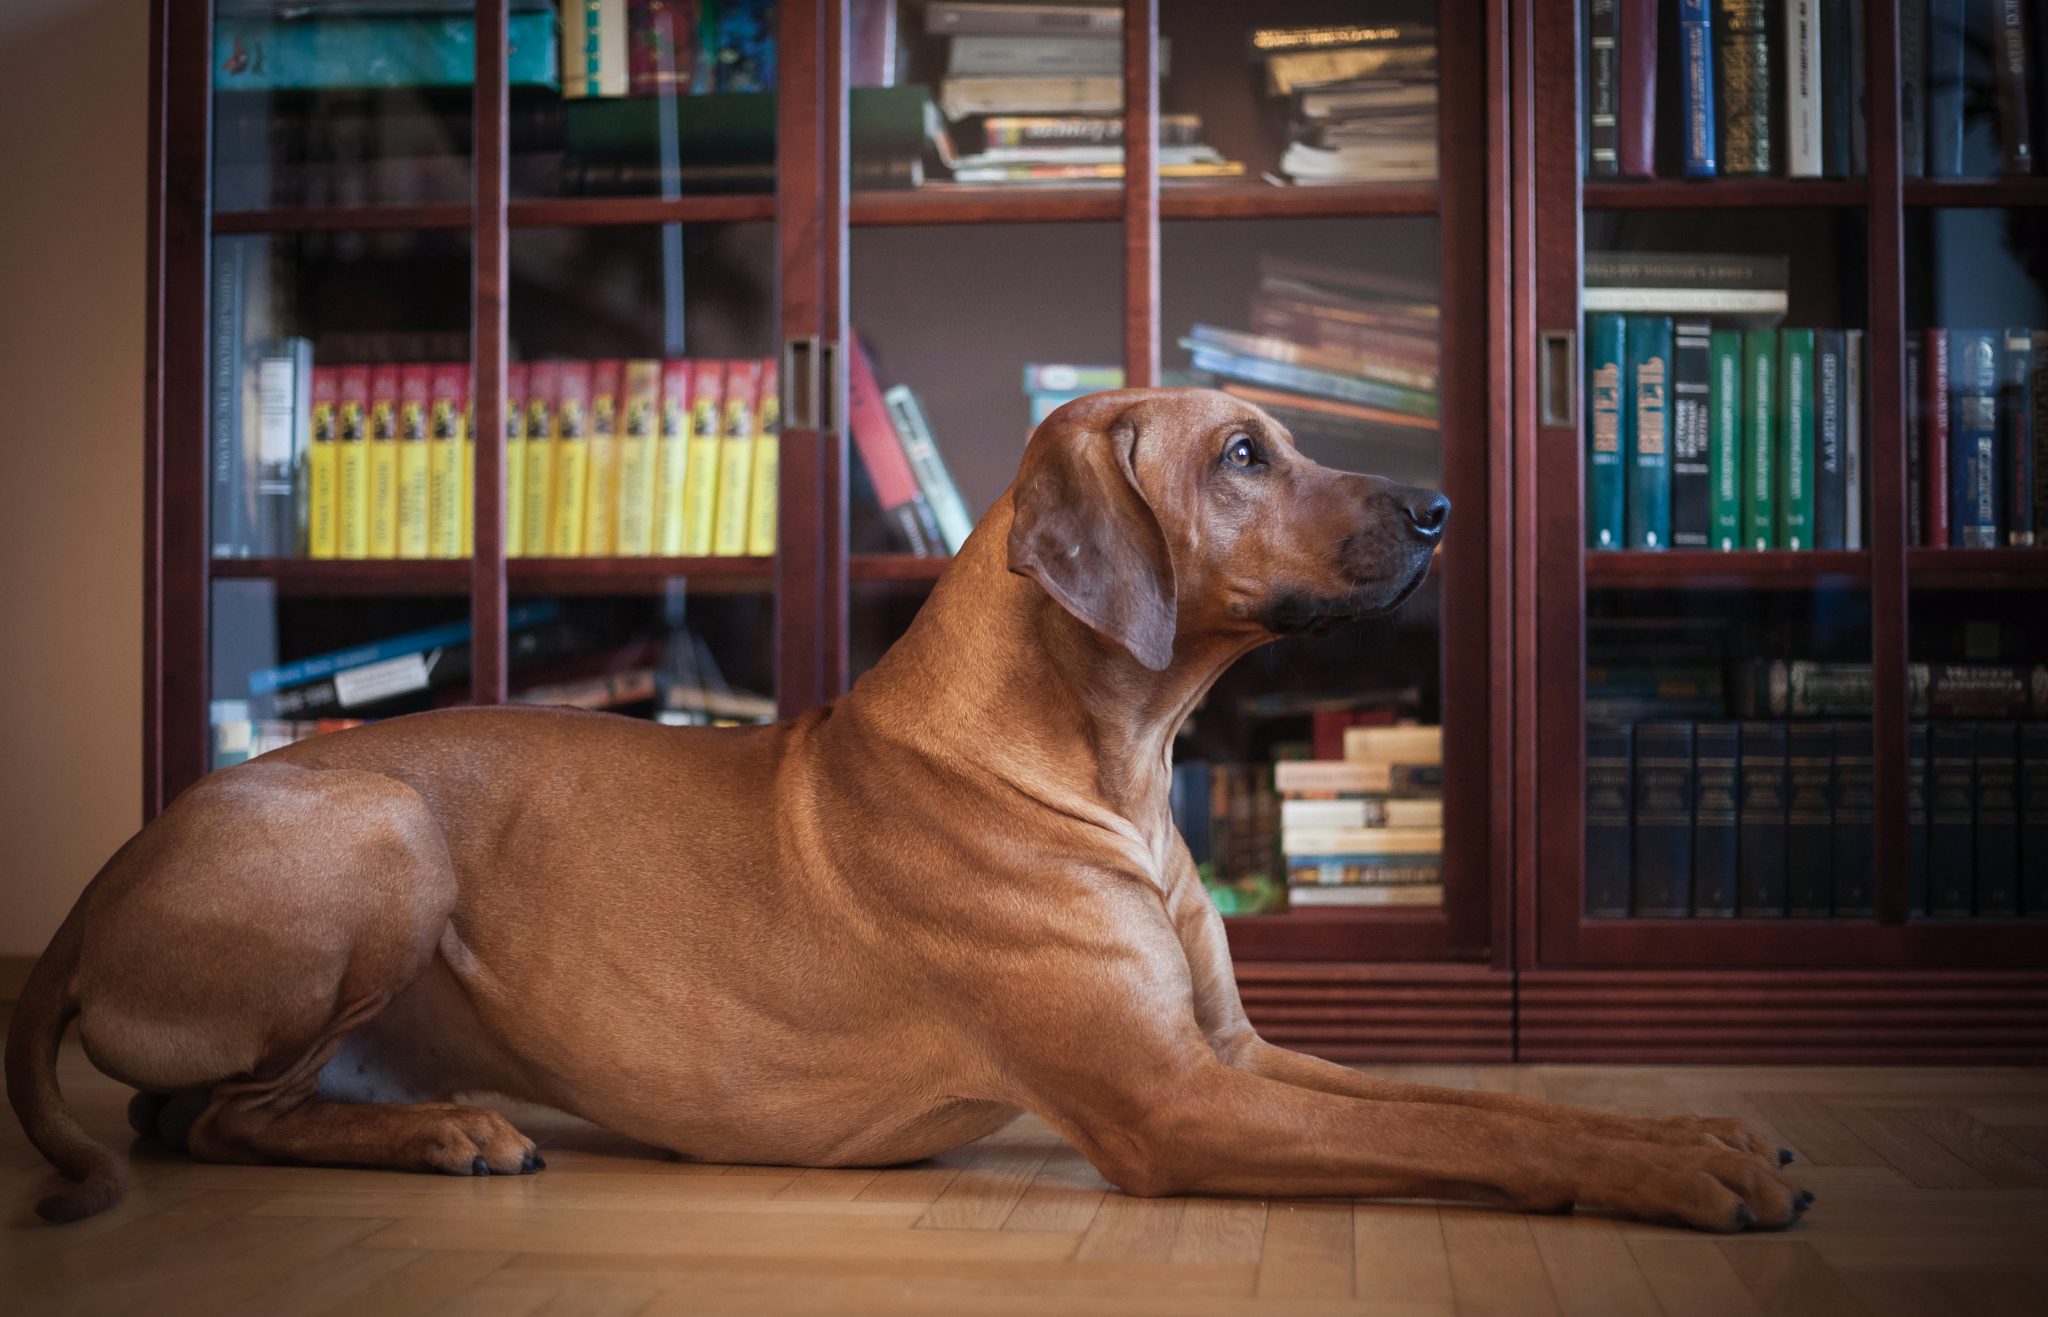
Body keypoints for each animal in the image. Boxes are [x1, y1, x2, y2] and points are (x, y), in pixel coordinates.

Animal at [4, 387, 1810, 1228]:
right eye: (1241, 454)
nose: (1438, 506)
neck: (1104, 762)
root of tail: (97, 888)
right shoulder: (1171, 1106)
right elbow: (1473, 1139)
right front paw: (1681, 1181)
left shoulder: (1227, 1057)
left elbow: (1473, 1102)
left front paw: (1692, 1134)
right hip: (373, 831)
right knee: (210, 1117)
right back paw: (441, 1130)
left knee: (194, 1110)